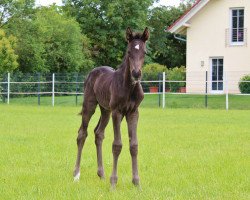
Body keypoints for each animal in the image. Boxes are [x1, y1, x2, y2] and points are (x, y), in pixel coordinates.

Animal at [73, 27, 149, 188]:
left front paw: (136, 183)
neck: (129, 88)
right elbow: (117, 145)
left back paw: (101, 174)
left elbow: (134, 145)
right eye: (128, 52)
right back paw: (76, 174)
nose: (136, 73)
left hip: (105, 110)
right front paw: (113, 182)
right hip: (90, 105)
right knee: (82, 133)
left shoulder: (133, 112)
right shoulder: (117, 112)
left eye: (144, 52)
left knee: (98, 133)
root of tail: (92, 72)